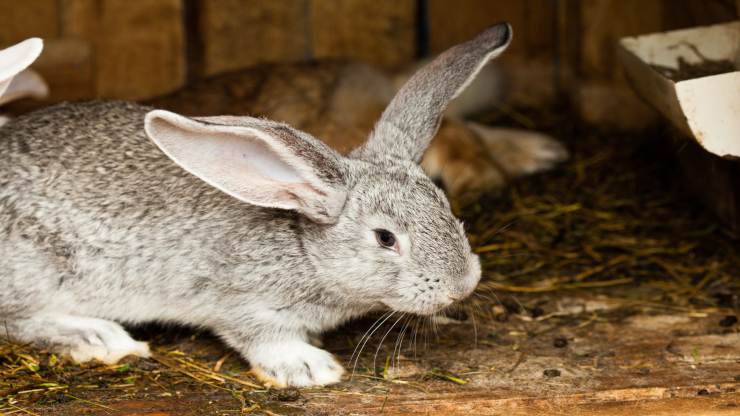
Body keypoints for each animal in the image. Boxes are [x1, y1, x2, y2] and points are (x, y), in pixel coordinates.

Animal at [0, 24, 511, 388]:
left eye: (446, 206)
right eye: (385, 238)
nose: (462, 286)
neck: (304, 249)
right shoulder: (240, 302)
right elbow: (259, 337)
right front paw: (310, 368)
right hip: (40, 270)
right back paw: (99, 338)